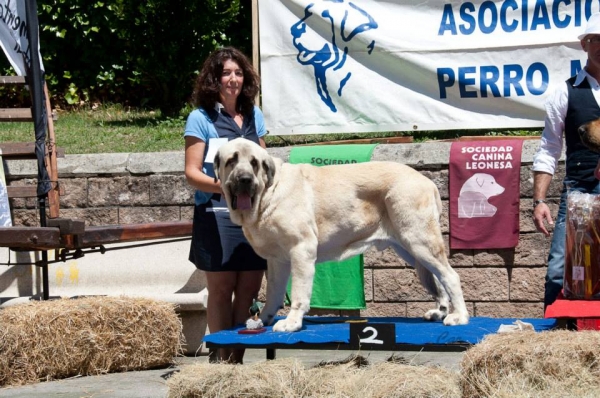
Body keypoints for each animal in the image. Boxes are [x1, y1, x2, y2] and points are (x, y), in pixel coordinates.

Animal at [214, 138, 468, 332]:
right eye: (232, 161)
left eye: (254, 163)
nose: (245, 179)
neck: (268, 191)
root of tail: (427, 182)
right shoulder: (277, 260)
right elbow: (274, 292)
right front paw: (264, 318)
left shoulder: (301, 250)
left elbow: (298, 293)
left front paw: (292, 322)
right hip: (410, 248)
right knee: (438, 278)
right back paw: (440, 312)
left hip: (419, 240)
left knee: (451, 276)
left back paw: (459, 316)